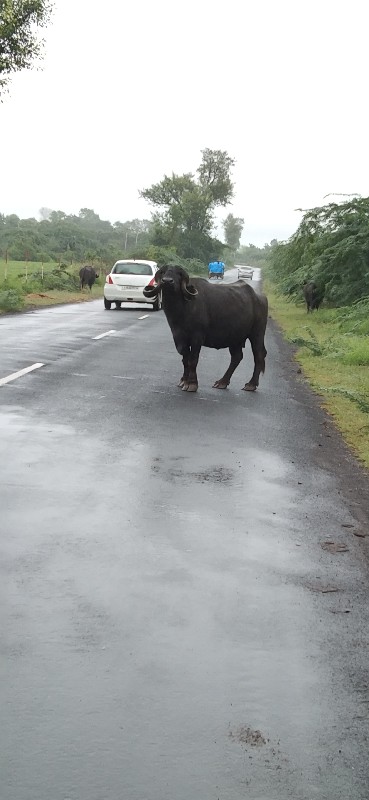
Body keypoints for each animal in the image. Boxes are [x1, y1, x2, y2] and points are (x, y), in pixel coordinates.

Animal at [143, 266, 268, 394]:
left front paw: (192, 384)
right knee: (237, 357)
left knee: (259, 355)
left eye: (179, 274)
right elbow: (185, 359)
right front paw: (184, 380)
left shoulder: (197, 337)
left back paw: (251, 384)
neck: (182, 309)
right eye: (163, 272)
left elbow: (193, 359)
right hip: (235, 338)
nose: (167, 281)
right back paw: (222, 382)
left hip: (257, 333)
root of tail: (260, 297)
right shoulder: (178, 337)